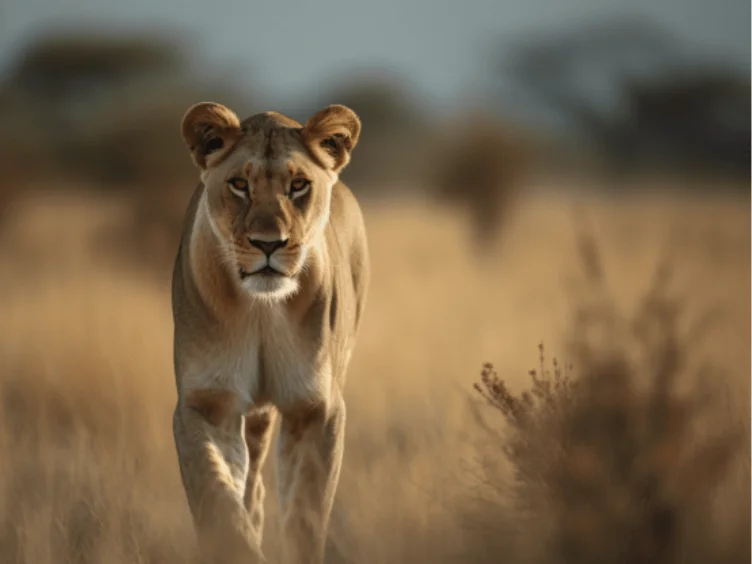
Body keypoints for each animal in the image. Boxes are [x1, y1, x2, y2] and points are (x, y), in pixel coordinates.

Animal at [171, 101, 369, 564]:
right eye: (239, 184)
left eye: (298, 186)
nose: (268, 243)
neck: (262, 310)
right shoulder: (206, 404)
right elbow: (219, 502)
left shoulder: (315, 408)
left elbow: (305, 515)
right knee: (251, 488)